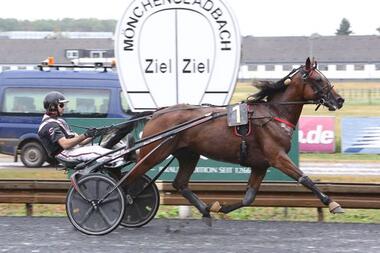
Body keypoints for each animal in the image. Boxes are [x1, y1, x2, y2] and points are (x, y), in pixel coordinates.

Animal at [125, 57, 344, 225]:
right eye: (318, 79)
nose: (339, 100)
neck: (274, 115)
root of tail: (157, 113)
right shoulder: (277, 157)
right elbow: (304, 178)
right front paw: (333, 203)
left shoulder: (260, 165)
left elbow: (249, 198)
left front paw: (219, 207)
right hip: (154, 153)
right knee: (130, 178)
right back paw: (124, 202)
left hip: (188, 154)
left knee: (180, 183)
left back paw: (205, 210)